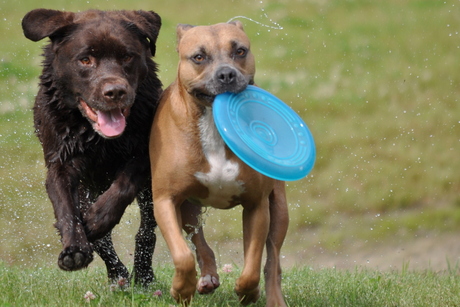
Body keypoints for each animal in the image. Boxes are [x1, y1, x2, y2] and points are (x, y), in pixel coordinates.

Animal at [149, 20, 288, 306]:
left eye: (240, 51)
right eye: (198, 57)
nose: (226, 74)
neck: (213, 125)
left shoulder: (257, 205)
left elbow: (252, 264)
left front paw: (248, 291)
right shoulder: (166, 200)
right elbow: (182, 255)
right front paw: (182, 289)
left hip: (279, 208)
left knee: (272, 257)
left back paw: (272, 297)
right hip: (188, 208)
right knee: (199, 242)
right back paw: (206, 279)